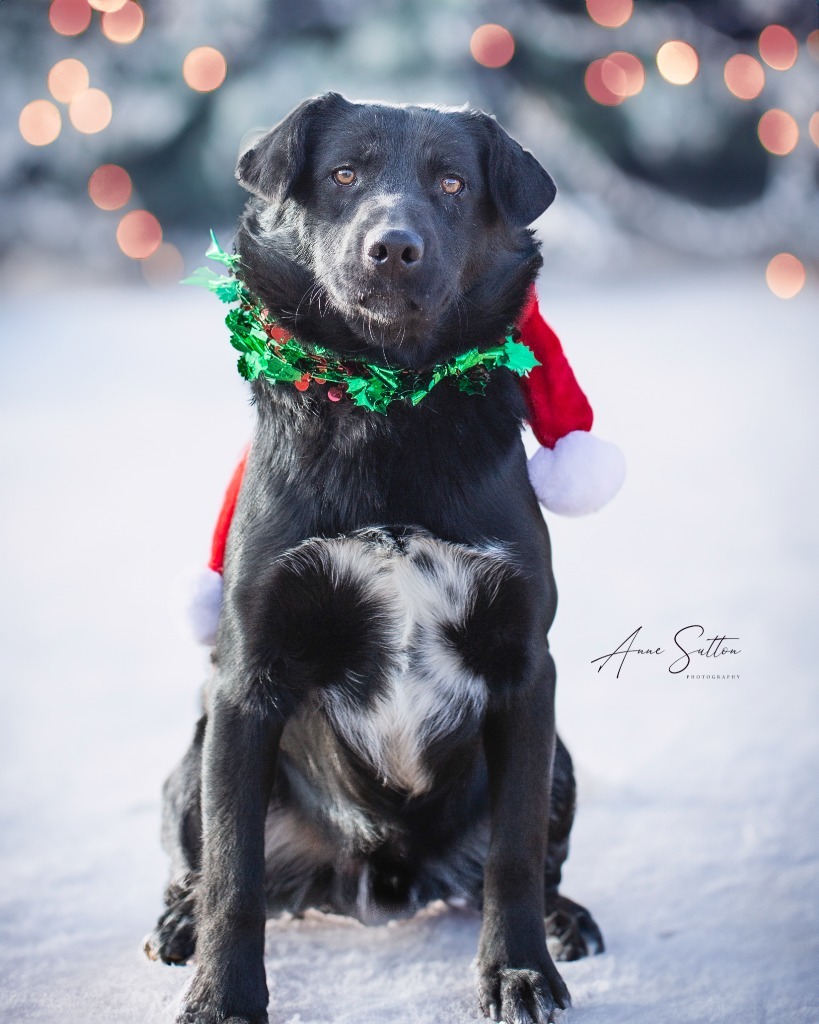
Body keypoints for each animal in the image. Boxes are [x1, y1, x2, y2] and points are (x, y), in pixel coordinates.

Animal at [147, 94, 606, 1024]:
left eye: (453, 182)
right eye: (344, 174)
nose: (392, 247)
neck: (388, 407)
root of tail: (380, 879)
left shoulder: (524, 669)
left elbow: (512, 857)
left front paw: (519, 972)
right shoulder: (247, 680)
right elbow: (234, 877)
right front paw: (223, 996)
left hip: (562, 761)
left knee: (531, 863)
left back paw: (565, 918)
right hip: (194, 755)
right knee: (201, 866)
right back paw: (177, 922)